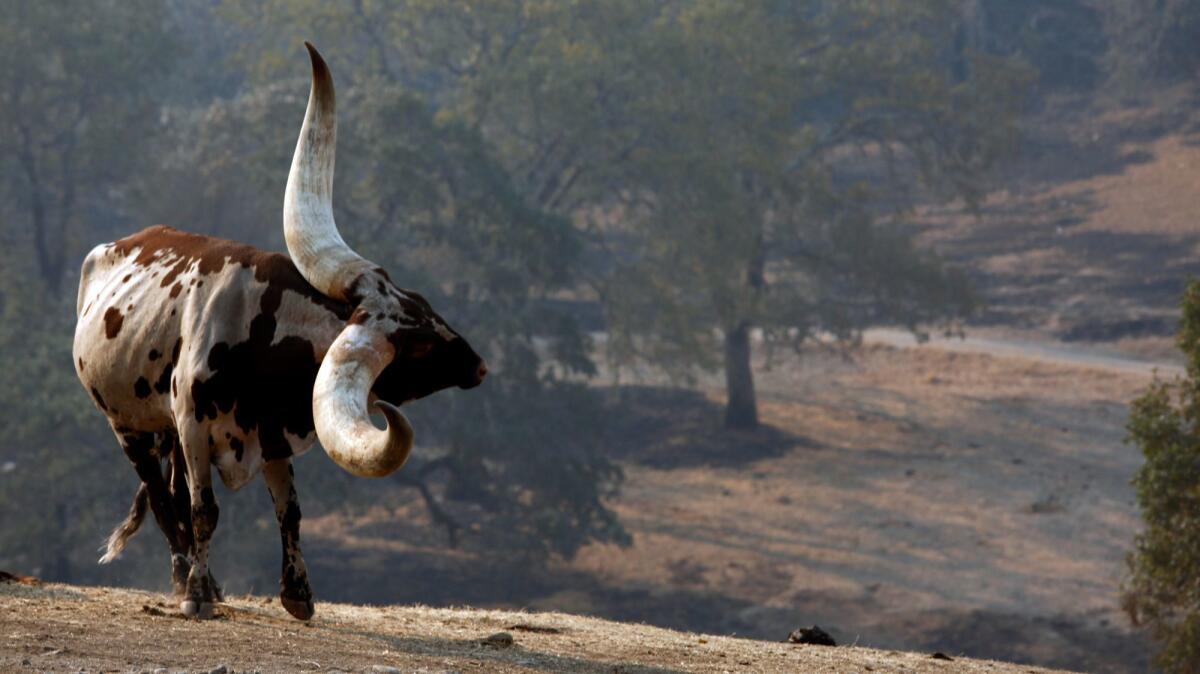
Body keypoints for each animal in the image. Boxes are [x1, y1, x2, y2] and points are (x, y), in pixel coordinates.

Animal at [71, 43, 487, 618]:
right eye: (418, 346)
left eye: (425, 306)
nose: (477, 363)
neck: (259, 333)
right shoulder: (194, 426)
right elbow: (204, 510)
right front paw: (196, 596)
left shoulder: (272, 435)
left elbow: (290, 511)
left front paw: (298, 595)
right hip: (128, 426)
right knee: (162, 499)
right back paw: (188, 580)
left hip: (165, 431)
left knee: (170, 494)